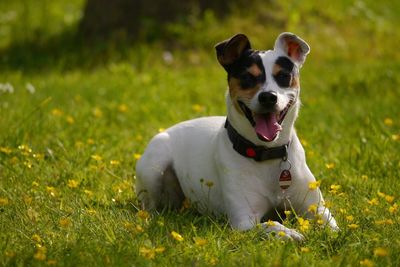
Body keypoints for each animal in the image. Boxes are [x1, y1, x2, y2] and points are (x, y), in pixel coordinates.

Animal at [136, 32, 340, 242]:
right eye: (247, 77)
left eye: (284, 76)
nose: (268, 97)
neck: (266, 154)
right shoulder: (244, 221)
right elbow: (271, 224)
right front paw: (288, 232)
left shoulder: (317, 208)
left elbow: (331, 226)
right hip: (154, 167)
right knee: (149, 206)